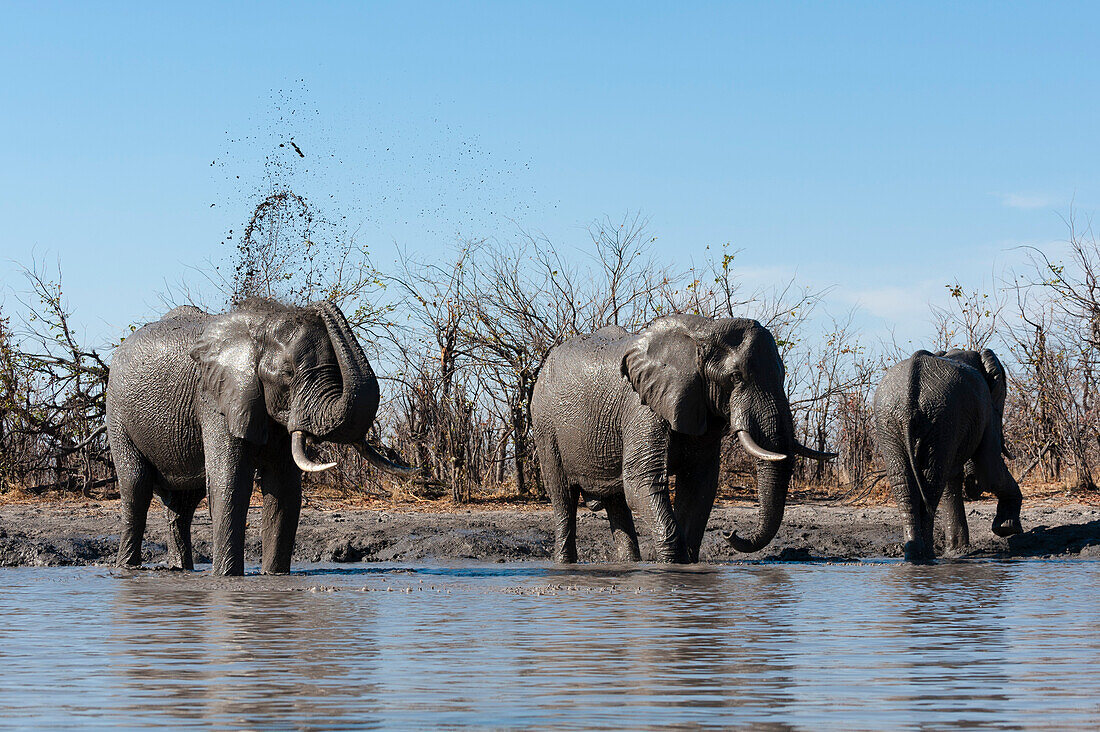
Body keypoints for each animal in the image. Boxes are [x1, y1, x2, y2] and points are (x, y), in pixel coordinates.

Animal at [106, 295, 415, 572]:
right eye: (288, 374)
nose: (317, 306)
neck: (261, 327)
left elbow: (284, 490)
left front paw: (274, 577)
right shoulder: (215, 399)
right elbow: (230, 484)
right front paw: (226, 578)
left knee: (183, 505)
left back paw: (180, 569)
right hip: (117, 414)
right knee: (136, 487)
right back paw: (128, 568)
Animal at [530, 310, 831, 561]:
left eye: (783, 375)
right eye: (735, 377)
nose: (731, 533)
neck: (703, 333)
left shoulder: (701, 406)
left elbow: (699, 484)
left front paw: (687, 566)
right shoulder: (642, 407)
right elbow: (641, 481)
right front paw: (672, 566)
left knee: (615, 501)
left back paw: (630, 564)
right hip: (545, 426)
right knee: (563, 499)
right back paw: (565, 563)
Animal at [871, 347, 1025, 559]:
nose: (972, 483)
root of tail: (910, 394)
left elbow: (954, 476)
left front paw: (956, 550)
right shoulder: (984, 407)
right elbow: (989, 468)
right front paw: (1007, 529)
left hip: (894, 421)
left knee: (905, 482)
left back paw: (915, 555)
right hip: (937, 417)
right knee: (932, 481)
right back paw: (926, 555)